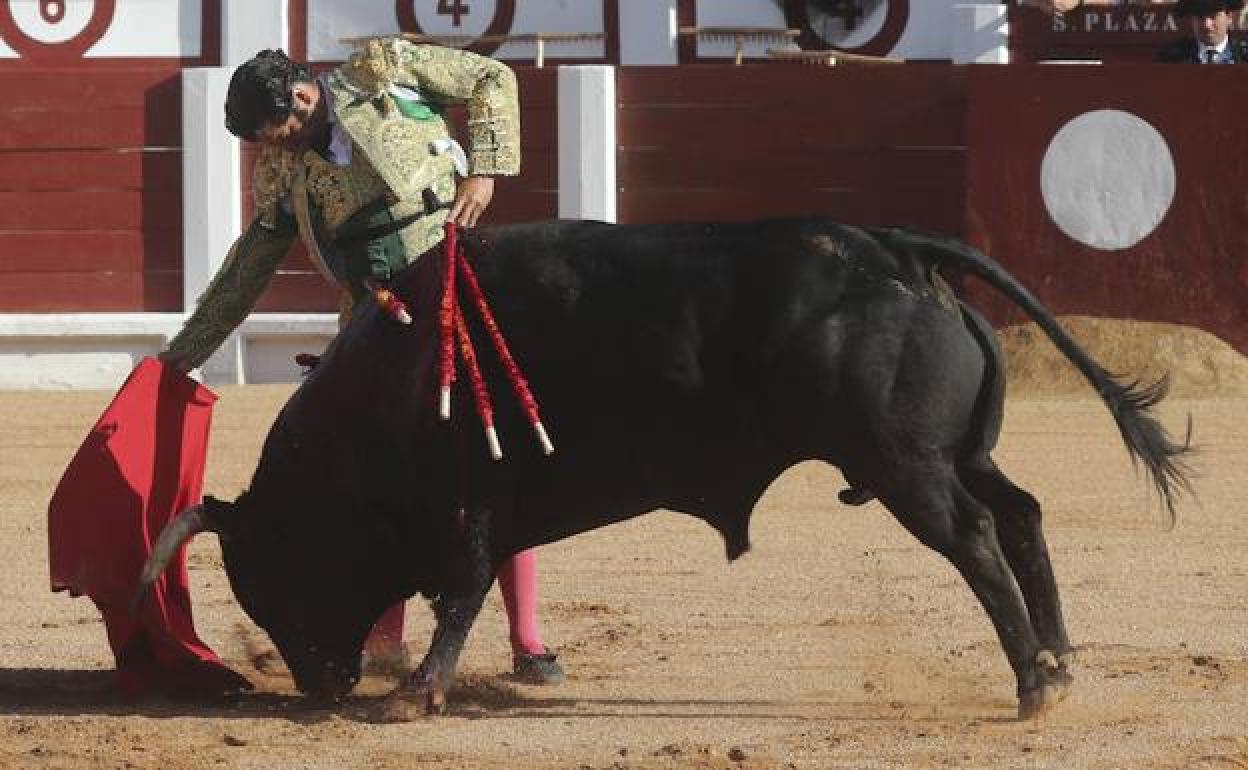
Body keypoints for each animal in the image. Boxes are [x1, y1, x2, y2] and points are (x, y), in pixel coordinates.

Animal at [136, 215, 1188, 718]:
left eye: (271, 575)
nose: (320, 685)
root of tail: (893, 248)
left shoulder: (467, 506)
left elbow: (462, 591)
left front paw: (417, 693)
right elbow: (470, 588)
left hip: (903, 466)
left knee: (973, 536)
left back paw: (1035, 687)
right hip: (956, 453)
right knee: (1021, 513)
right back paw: (1058, 658)